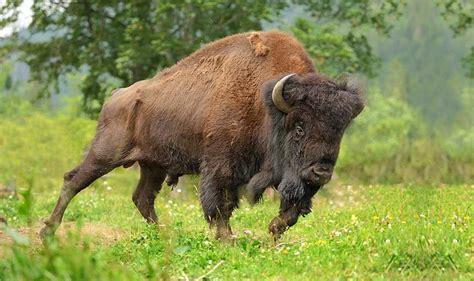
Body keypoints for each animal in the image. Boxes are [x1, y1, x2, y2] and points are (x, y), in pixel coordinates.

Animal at [41, 31, 366, 240]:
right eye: (299, 127)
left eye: (339, 131)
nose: (321, 172)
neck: (265, 103)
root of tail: (117, 95)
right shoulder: (220, 166)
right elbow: (219, 205)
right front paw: (227, 240)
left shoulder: (289, 178)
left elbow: (290, 212)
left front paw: (272, 232)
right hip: (105, 153)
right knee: (74, 180)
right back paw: (48, 231)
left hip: (153, 165)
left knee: (142, 197)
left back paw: (163, 234)